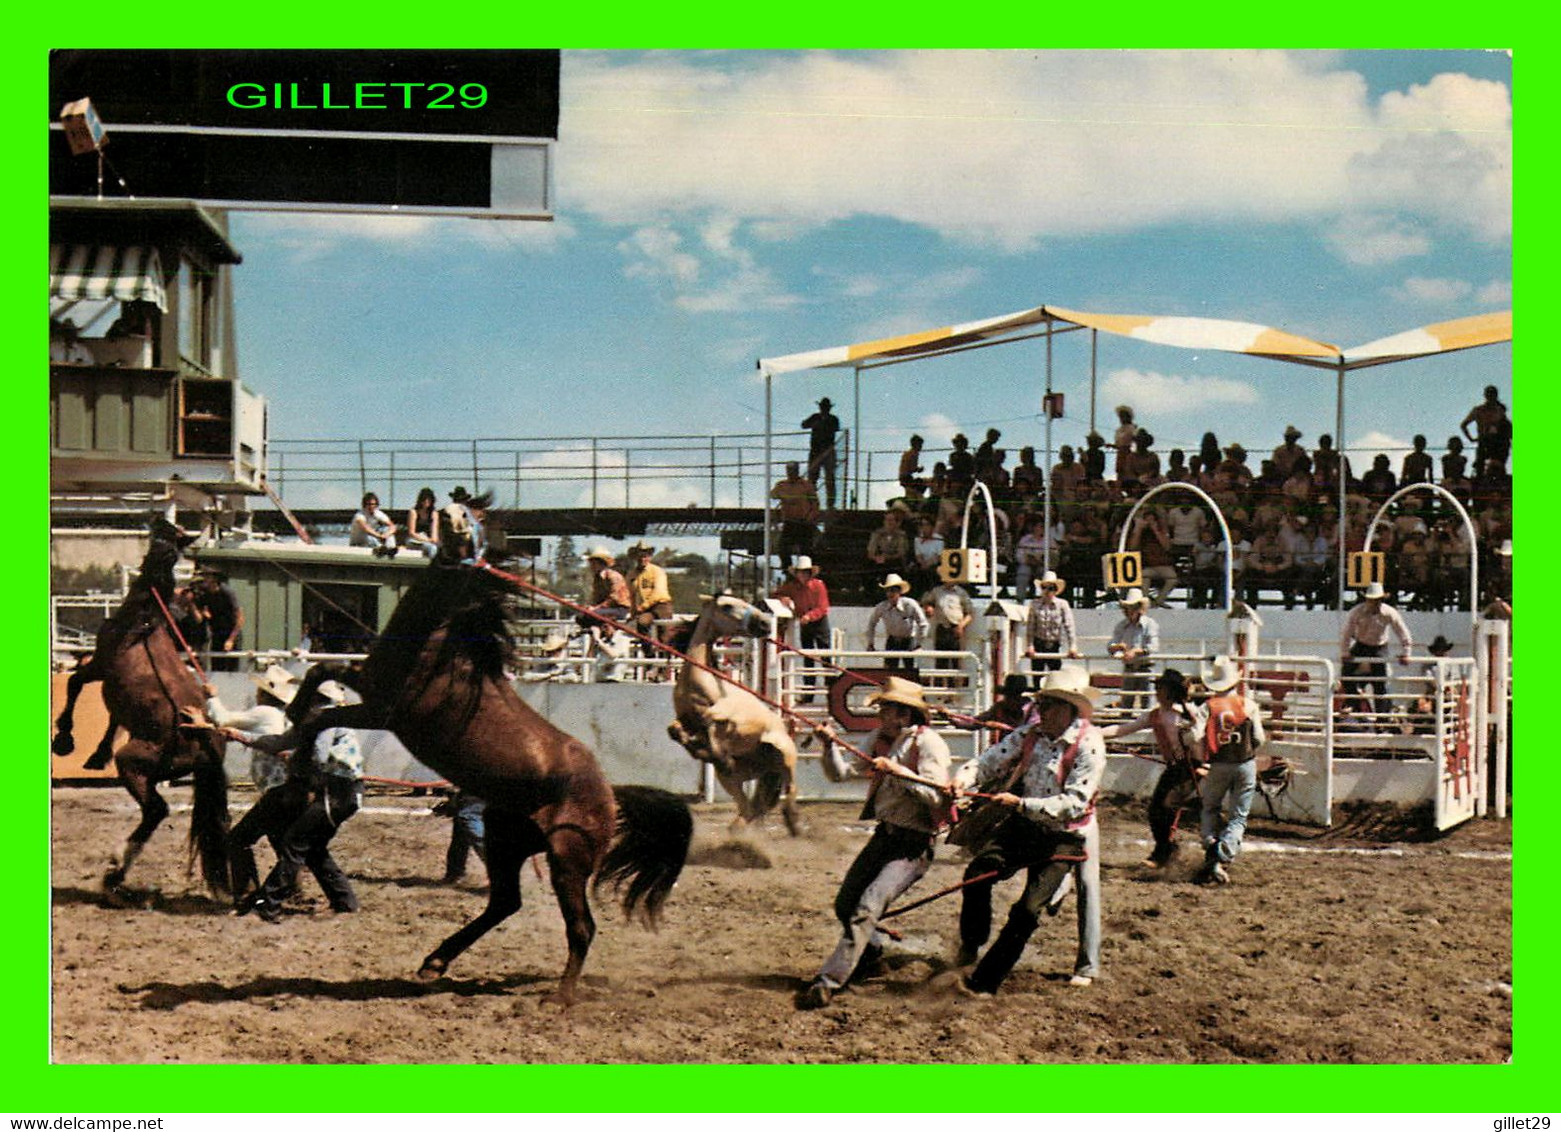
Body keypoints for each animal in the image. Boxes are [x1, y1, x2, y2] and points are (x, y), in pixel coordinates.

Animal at [51, 530, 229, 899]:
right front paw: (96, 755)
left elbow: (74, 684)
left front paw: (63, 739)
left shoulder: (99, 666)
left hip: (133, 764)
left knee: (156, 809)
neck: (144, 618)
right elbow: (112, 721)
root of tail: (205, 739)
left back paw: (115, 871)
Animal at [287, 552, 689, 999]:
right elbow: (322, 673)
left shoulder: (385, 711)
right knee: (505, 902)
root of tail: (610, 796)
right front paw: (291, 712)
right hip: (505, 841)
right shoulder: (368, 685)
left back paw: (559, 997)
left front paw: (296, 750)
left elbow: (323, 716)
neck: (448, 656)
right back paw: (435, 962)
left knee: (581, 926)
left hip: (567, 861)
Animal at [664, 596, 799, 836]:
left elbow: (711, 721)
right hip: (735, 779)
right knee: (748, 809)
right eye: (727, 606)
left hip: (786, 754)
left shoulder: (730, 716)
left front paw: (712, 750)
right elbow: (675, 730)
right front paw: (701, 748)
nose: (764, 624)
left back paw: (792, 820)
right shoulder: (686, 719)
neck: (699, 682)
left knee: (790, 787)